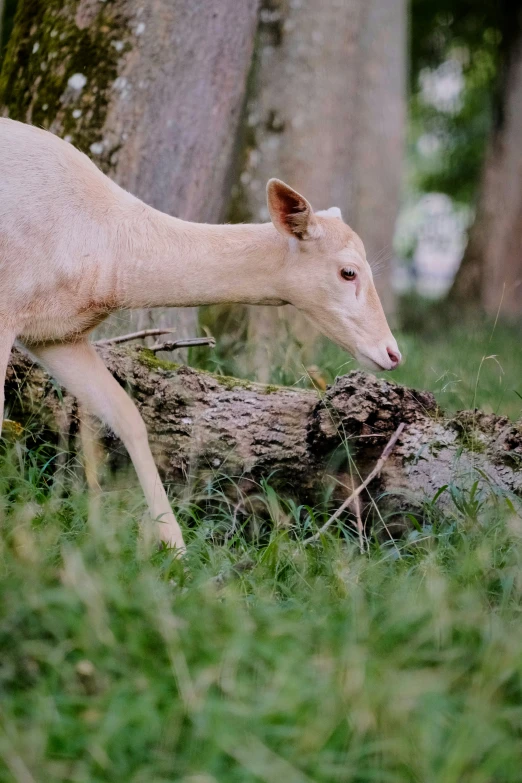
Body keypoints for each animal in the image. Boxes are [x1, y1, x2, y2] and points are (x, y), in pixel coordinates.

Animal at [0, 119, 400, 556]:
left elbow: (127, 415)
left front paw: (176, 548)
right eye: (348, 272)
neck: (107, 255)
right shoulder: (7, 306)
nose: (392, 352)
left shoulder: (57, 335)